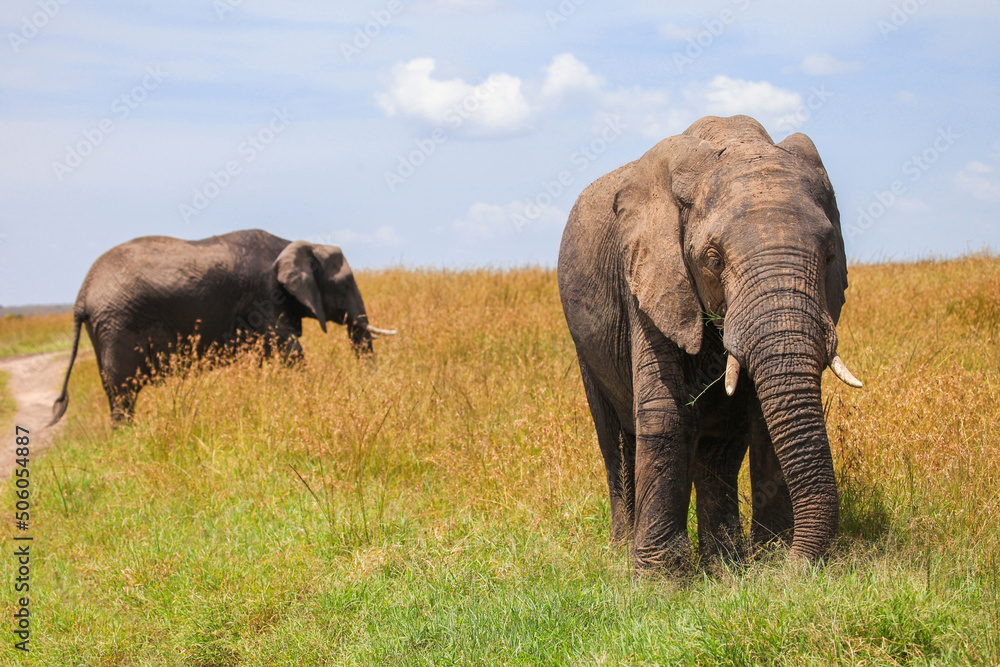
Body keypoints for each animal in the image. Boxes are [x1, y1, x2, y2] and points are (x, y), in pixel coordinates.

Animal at [50, 229, 395, 425]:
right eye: (345, 283)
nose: (371, 385)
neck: (299, 244)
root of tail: (81, 296)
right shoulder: (264, 297)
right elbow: (289, 351)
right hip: (116, 324)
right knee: (122, 391)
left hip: (104, 328)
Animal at [558, 115, 863, 574]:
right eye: (713, 260)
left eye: (829, 254)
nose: (793, 566)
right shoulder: (652, 277)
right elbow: (667, 412)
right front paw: (658, 581)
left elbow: (763, 420)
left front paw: (768, 561)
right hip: (586, 347)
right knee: (615, 441)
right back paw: (624, 550)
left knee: (719, 446)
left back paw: (723, 563)